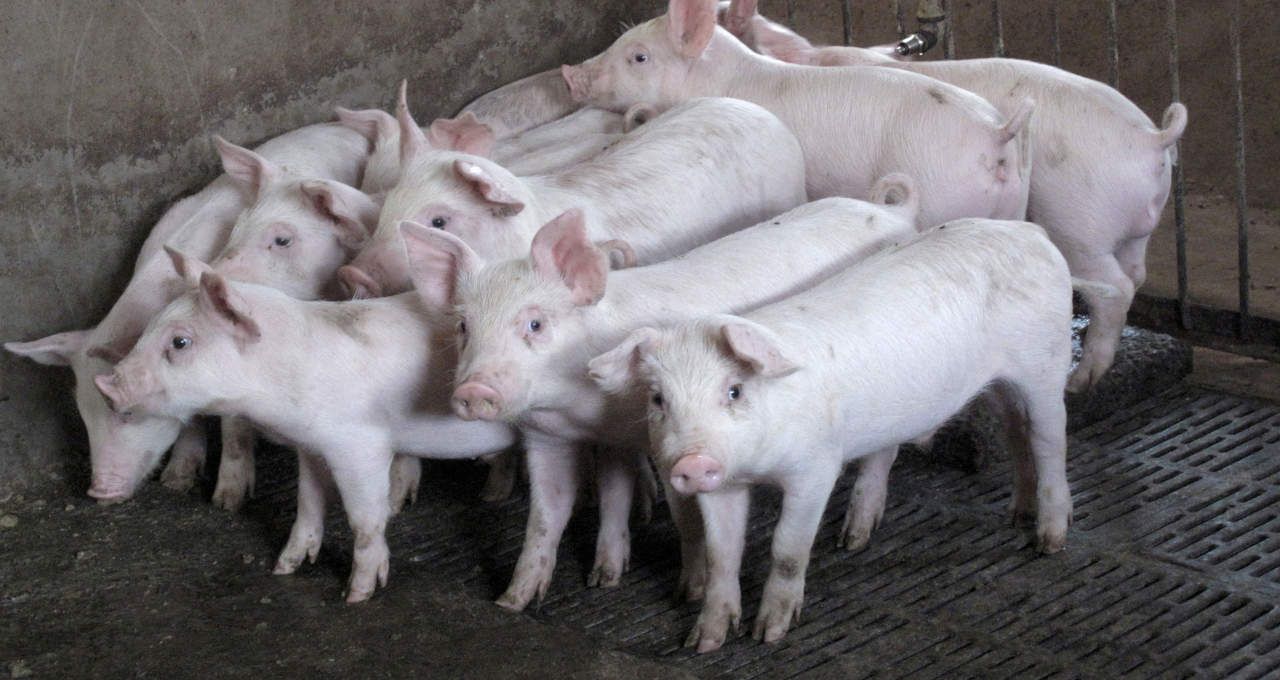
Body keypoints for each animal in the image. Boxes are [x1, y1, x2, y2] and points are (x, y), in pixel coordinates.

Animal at [5, 122, 370, 507]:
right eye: (84, 414)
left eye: (127, 414)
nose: (100, 492)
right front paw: (176, 481)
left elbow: (233, 416)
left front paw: (226, 500)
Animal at [92, 249, 518, 602]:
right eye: (149, 327)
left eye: (180, 342)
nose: (106, 385)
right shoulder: (311, 446)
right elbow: (308, 502)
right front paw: (283, 568)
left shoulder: (361, 446)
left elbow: (365, 518)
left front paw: (356, 595)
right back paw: (492, 497)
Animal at [400, 176, 920, 611]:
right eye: (464, 327)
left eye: (535, 324)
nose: (473, 390)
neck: (576, 411)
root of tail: (891, 211)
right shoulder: (555, 438)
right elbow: (553, 514)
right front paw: (526, 597)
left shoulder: (663, 441)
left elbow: (684, 517)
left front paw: (686, 593)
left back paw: (853, 538)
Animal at [588, 218, 1080, 651]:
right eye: (658, 399)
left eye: (734, 390)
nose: (692, 462)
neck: (757, 467)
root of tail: (1027, 230)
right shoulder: (722, 485)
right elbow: (721, 553)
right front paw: (704, 643)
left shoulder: (815, 467)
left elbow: (788, 548)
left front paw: (769, 634)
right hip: (993, 383)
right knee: (1012, 433)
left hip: (1045, 363)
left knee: (1050, 440)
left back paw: (1048, 541)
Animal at [720, 0, 1189, 392]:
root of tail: (1152, 138)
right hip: (1129, 224)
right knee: (1136, 273)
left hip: (1080, 220)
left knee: (1115, 286)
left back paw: (1080, 381)